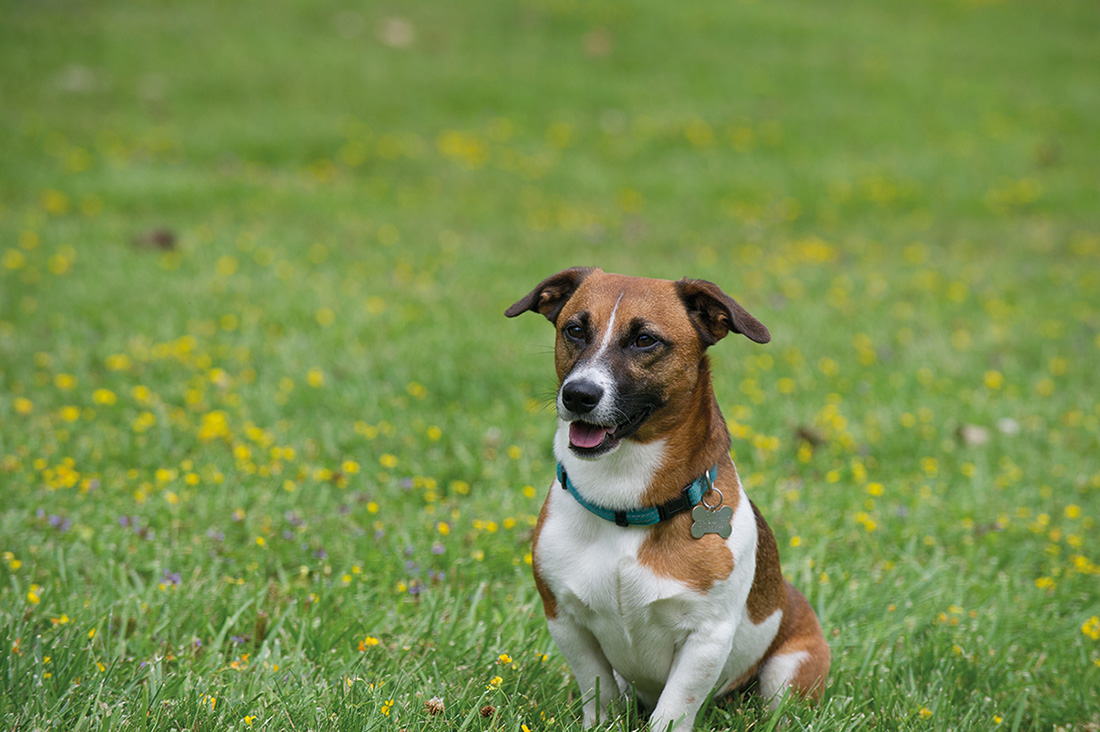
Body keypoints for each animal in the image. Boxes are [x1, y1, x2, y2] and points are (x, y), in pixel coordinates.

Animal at [503, 268, 827, 730]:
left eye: (645, 340)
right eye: (575, 330)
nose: (577, 395)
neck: (625, 505)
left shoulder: (706, 639)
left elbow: (674, 707)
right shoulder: (567, 622)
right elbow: (598, 689)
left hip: (786, 673)